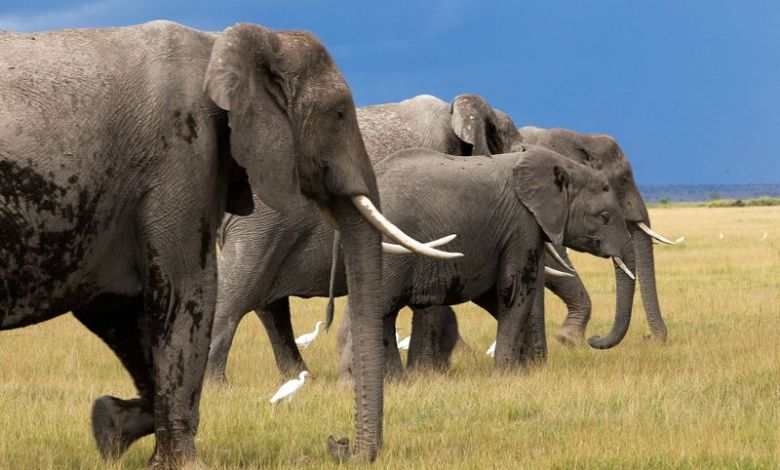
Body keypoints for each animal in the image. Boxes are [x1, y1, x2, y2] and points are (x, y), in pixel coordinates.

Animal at [0, 21, 454, 465]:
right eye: (340, 113)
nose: (338, 444)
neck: (224, 43)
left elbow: (115, 307)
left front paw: (109, 426)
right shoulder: (182, 155)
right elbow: (186, 292)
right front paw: (183, 463)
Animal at [206, 93, 518, 381]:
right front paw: (427, 375)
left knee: (268, 304)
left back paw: (300, 376)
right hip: (262, 219)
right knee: (239, 289)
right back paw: (216, 385)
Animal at [336, 145, 637, 378]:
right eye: (605, 217)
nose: (593, 340)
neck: (565, 165)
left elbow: (498, 294)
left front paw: (523, 372)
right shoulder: (521, 222)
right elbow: (514, 288)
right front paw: (506, 376)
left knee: (385, 312)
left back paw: (396, 381)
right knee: (379, 308)